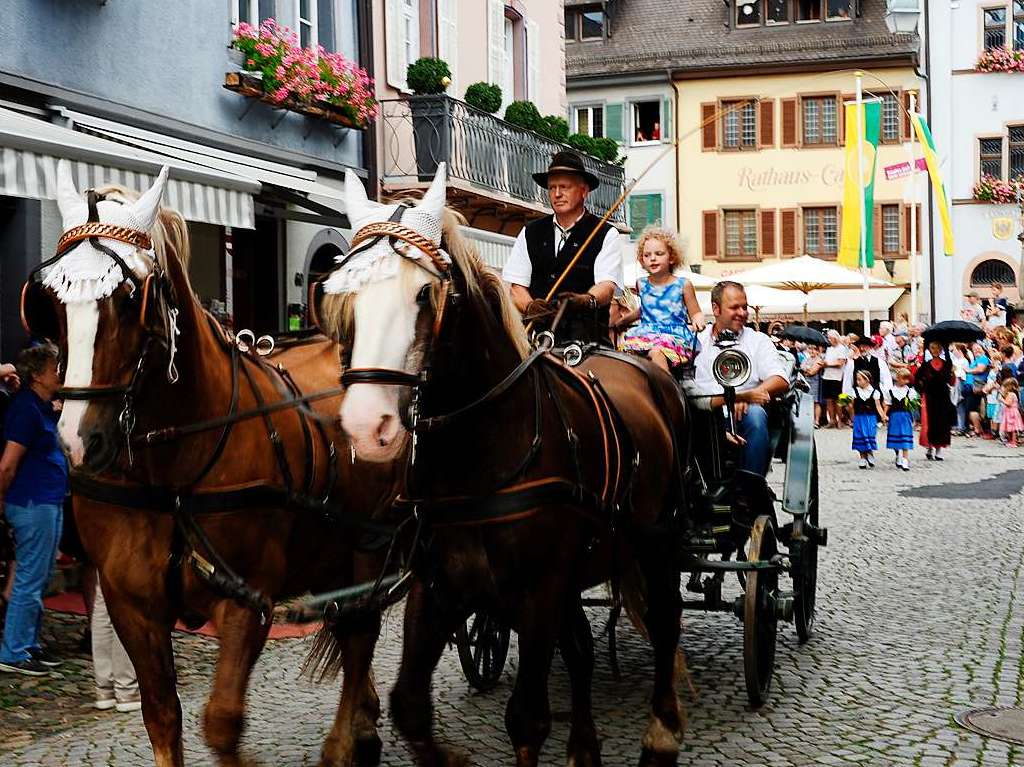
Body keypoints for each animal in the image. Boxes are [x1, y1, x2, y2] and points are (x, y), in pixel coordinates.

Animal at [29, 161, 393, 765]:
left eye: (129, 297)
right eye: (52, 302)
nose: (79, 443)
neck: (171, 475)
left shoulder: (247, 600)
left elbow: (222, 721)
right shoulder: (132, 605)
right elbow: (162, 716)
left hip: (372, 546)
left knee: (361, 631)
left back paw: (349, 740)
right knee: (348, 633)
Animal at [315, 168, 692, 765]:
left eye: (424, 293)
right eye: (343, 295)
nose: (366, 425)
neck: (481, 455)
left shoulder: (538, 592)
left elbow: (527, 719)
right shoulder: (438, 588)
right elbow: (409, 707)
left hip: (658, 539)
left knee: (665, 620)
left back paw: (662, 731)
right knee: (583, 647)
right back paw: (585, 745)